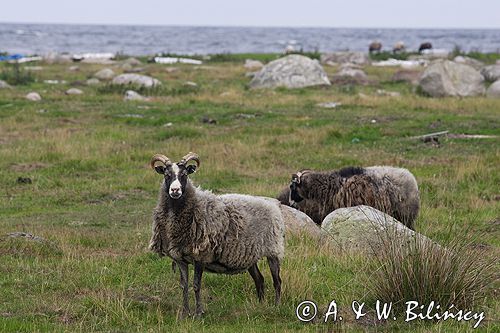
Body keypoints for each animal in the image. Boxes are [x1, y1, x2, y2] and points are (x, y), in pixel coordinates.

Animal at [148, 152, 286, 316]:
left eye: (184, 174)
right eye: (166, 175)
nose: (175, 190)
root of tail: (273, 205)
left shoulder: (200, 257)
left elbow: (196, 285)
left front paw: (198, 313)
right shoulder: (180, 258)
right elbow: (184, 286)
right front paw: (185, 313)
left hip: (273, 250)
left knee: (277, 281)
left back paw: (277, 306)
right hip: (250, 255)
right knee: (259, 279)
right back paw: (260, 305)